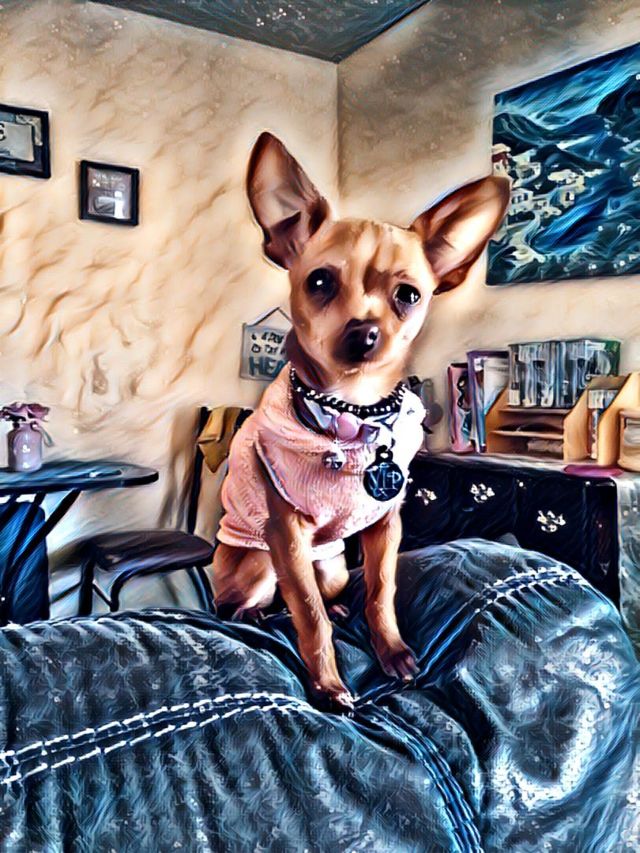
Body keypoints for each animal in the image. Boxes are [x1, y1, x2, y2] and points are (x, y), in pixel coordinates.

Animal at [212, 132, 510, 711]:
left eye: (409, 295)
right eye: (319, 281)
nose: (365, 332)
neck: (353, 414)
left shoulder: (386, 526)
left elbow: (380, 591)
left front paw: (390, 650)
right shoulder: (286, 535)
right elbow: (308, 618)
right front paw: (328, 684)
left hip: (329, 566)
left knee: (324, 592)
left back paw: (336, 606)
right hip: (259, 564)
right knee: (247, 605)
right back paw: (260, 613)